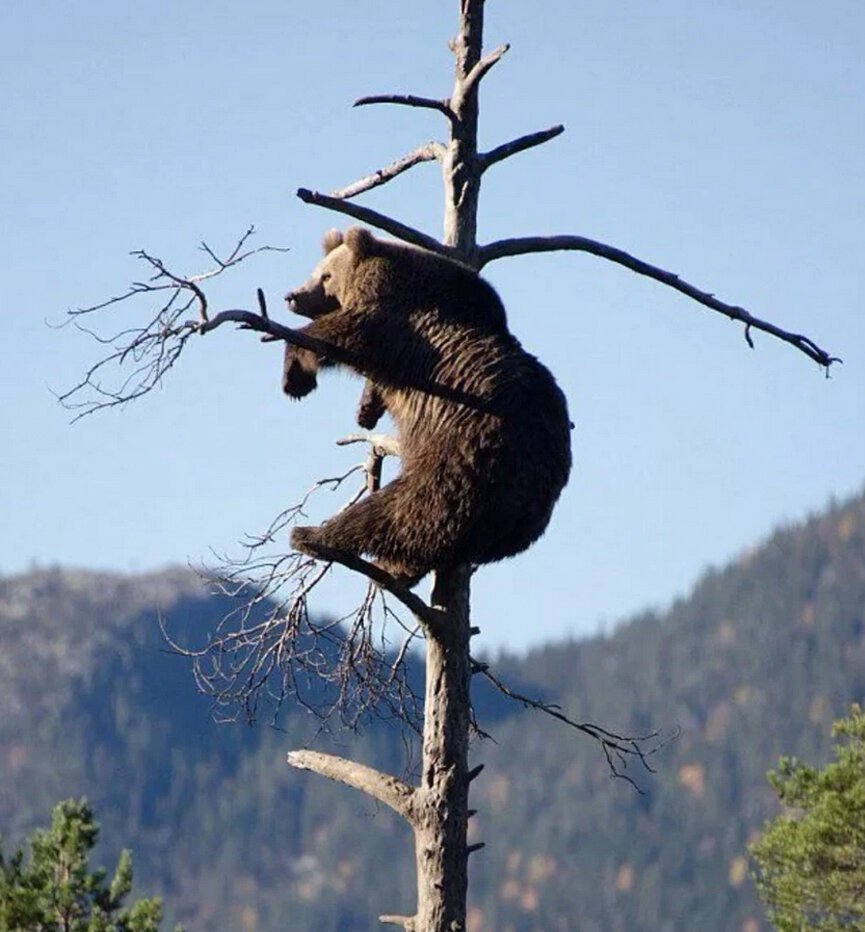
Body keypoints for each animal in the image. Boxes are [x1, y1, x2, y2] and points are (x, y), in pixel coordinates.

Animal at [282, 226, 572, 586]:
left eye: (325, 275)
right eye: (316, 271)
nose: (292, 295)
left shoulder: (399, 324)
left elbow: (346, 332)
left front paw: (296, 377)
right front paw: (365, 410)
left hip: (456, 458)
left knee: (394, 510)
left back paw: (314, 536)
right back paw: (394, 570)